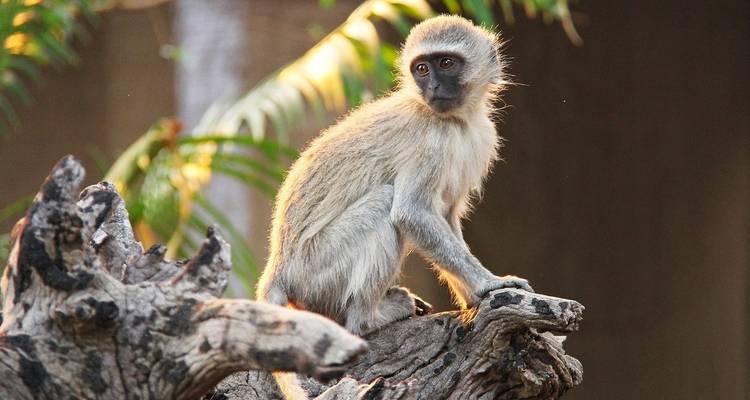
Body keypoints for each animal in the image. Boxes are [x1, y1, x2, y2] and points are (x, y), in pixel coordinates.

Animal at [257, 15, 532, 337]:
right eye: (422, 69)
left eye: (446, 63)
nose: (433, 85)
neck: (456, 122)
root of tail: (279, 268)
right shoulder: (431, 142)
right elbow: (410, 213)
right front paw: (488, 283)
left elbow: (446, 214)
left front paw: (472, 296)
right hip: (316, 273)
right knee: (383, 204)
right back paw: (369, 318)